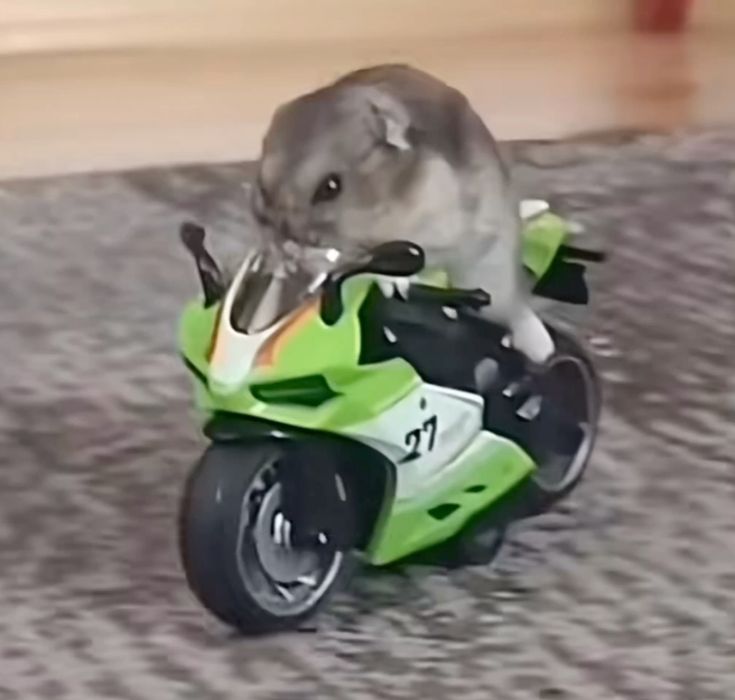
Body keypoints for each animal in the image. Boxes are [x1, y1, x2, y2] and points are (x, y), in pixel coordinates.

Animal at [250, 64, 554, 365]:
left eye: (330, 187)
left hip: (488, 273)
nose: (288, 239)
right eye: (263, 187)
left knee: (511, 309)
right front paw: (284, 259)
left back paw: (541, 349)